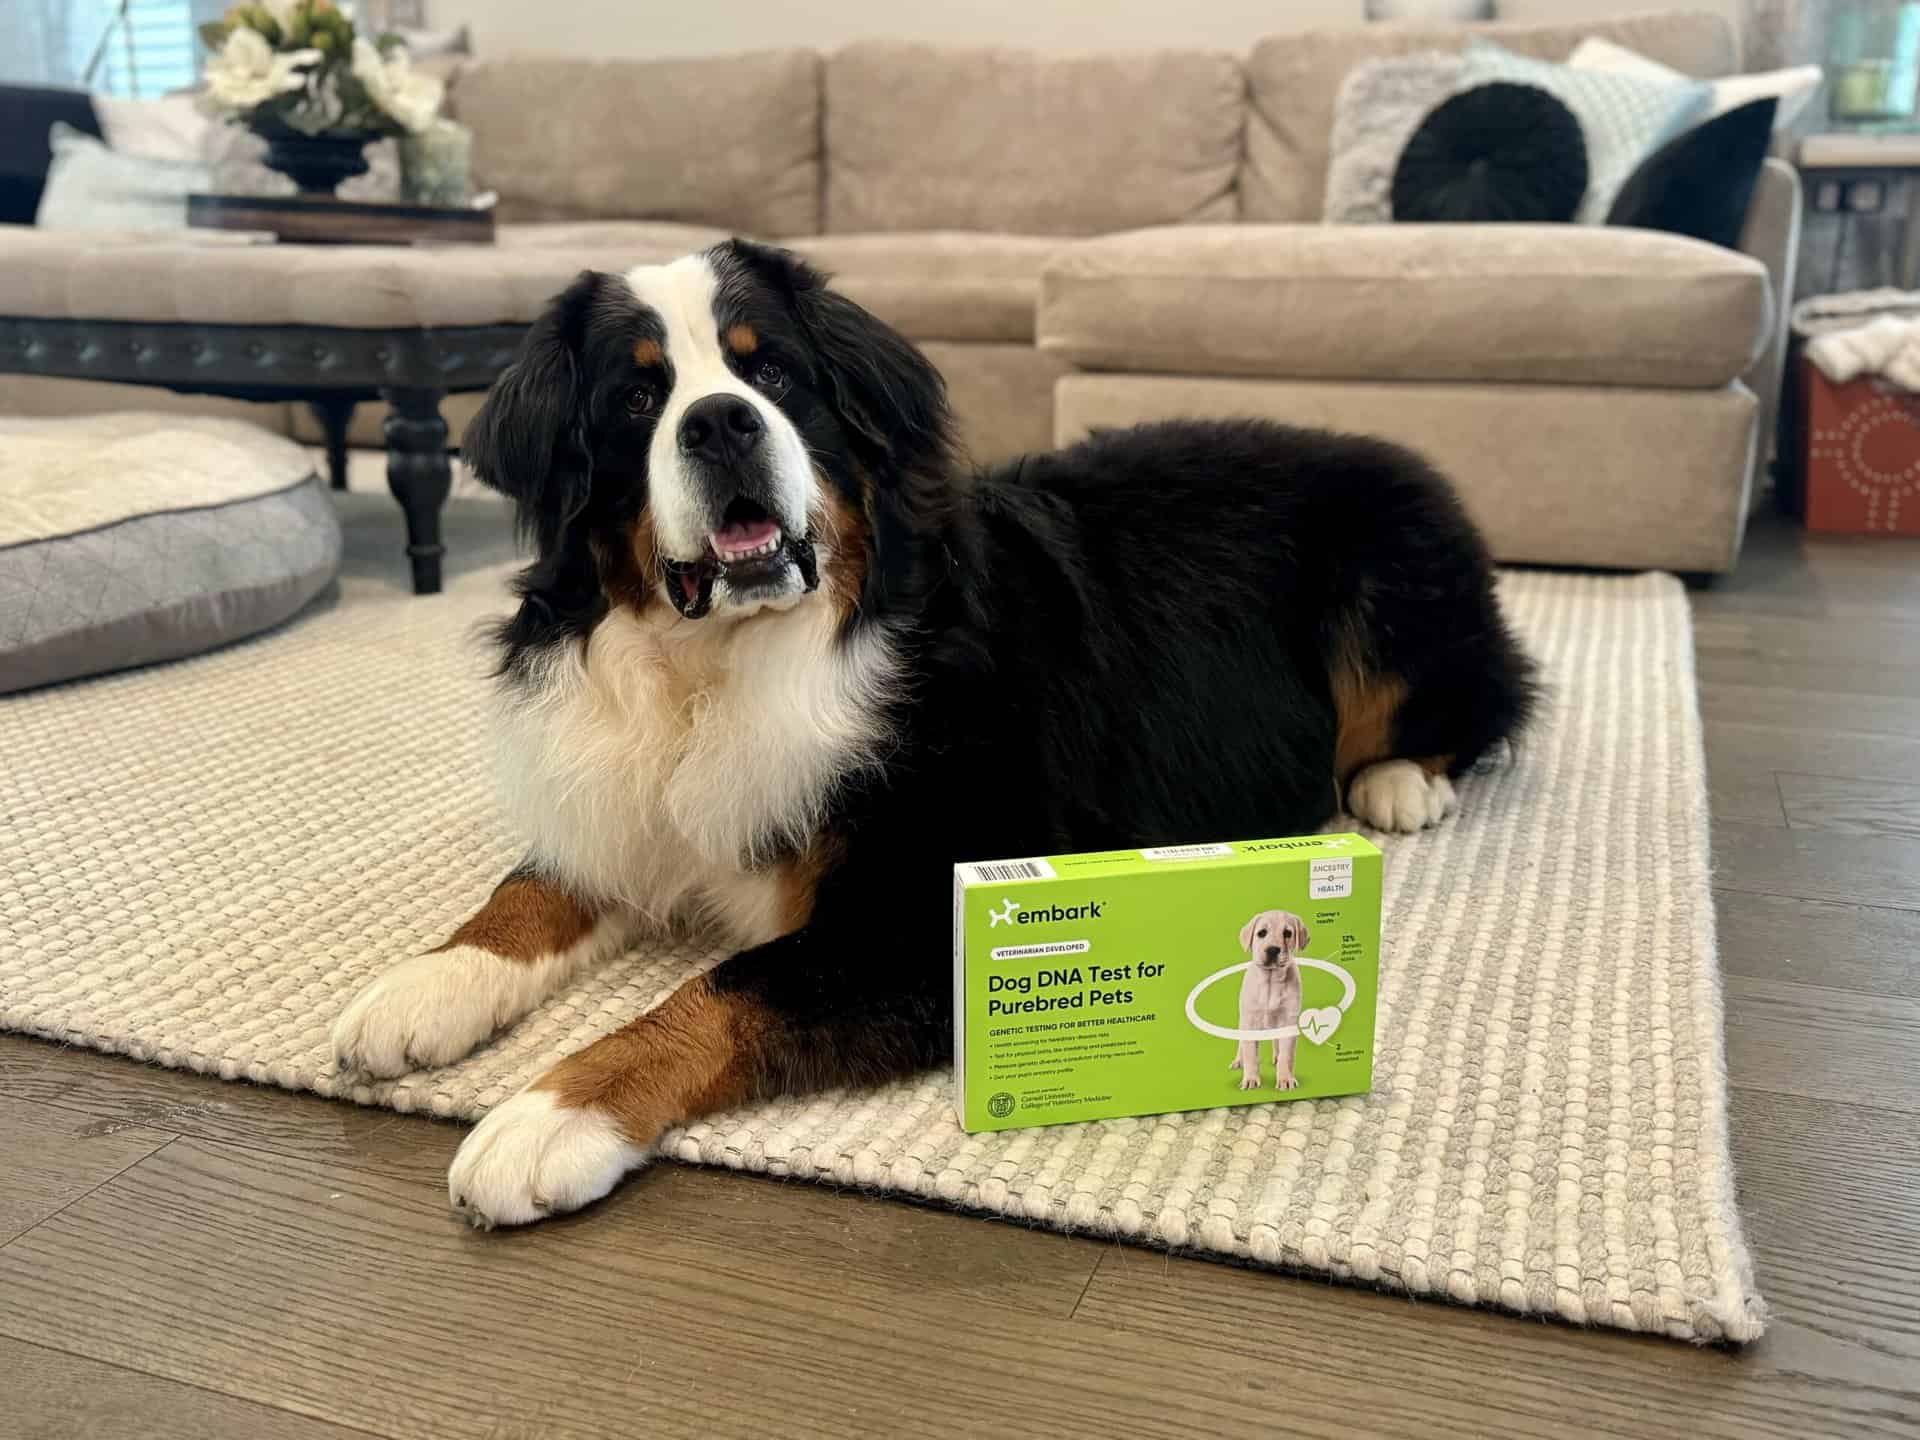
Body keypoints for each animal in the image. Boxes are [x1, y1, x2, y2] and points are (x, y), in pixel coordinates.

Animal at [326, 237, 1528, 1228]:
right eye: (637, 396)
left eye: (773, 376)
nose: (720, 423)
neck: (727, 666)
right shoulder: (640, 808)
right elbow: (533, 888)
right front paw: (424, 982)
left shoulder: (914, 918)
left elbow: (719, 992)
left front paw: (546, 1118)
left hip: (1388, 586)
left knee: (1474, 700)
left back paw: (1400, 784)